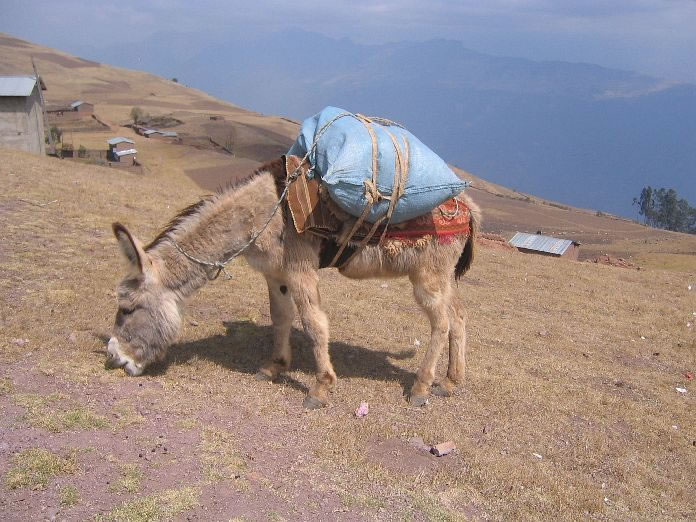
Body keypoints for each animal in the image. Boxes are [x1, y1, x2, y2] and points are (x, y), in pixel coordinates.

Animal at [106, 156, 480, 408]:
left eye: (127, 309)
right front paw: (275, 366)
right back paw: (451, 381)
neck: (262, 213)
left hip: (427, 277)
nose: (114, 358)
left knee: (441, 323)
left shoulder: (301, 271)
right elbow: (281, 317)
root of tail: (468, 207)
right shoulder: (276, 276)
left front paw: (321, 387)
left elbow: (314, 323)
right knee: (459, 316)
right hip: (443, 277)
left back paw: (421, 387)